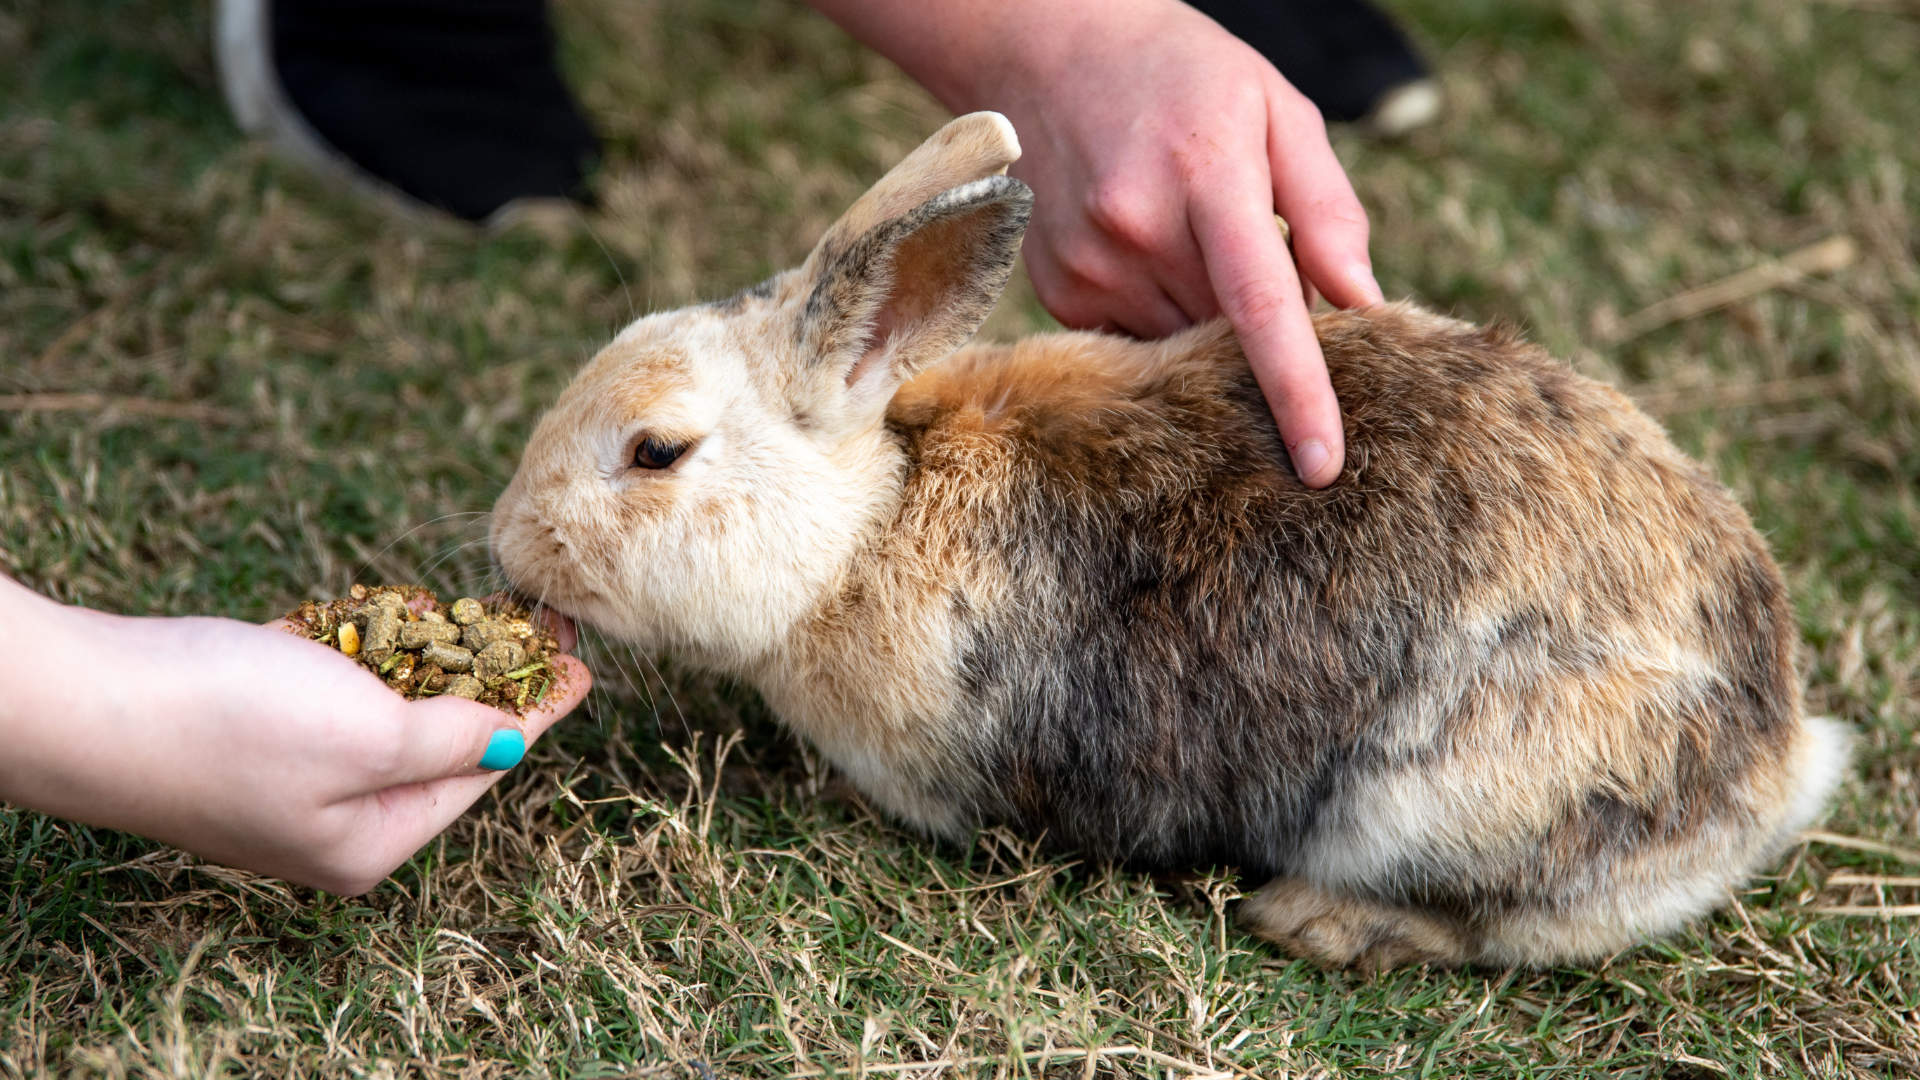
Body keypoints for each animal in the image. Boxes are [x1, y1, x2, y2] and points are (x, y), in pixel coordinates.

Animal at [490, 112, 1851, 970]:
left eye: (656, 453)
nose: (509, 547)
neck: (869, 526)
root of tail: (1778, 751)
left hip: (1445, 802)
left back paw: (1319, 925)